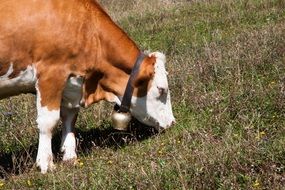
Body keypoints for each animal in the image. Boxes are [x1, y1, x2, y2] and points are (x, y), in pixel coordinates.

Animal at [0, 0, 174, 173]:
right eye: (161, 89)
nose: (172, 122)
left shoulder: (71, 85)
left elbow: (70, 117)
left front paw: (70, 157)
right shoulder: (51, 74)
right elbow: (49, 122)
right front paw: (46, 164)